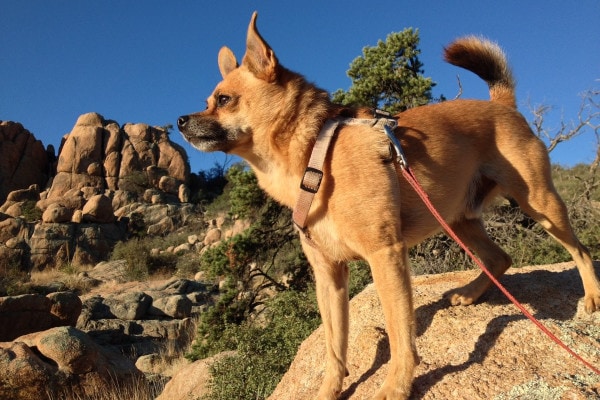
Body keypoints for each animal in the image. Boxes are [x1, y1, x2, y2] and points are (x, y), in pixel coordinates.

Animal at [178, 12, 600, 400]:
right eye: (208, 102)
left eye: (223, 100)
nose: (180, 120)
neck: (315, 152)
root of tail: (504, 106)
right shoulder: (329, 276)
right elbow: (335, 349)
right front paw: (330, 390)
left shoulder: (385, 256)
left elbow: (400, 337)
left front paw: (397, 386)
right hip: (458, 220)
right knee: (499, 258)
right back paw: (469, 294)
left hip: (540, 204)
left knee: (580, 250)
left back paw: (592, 297)